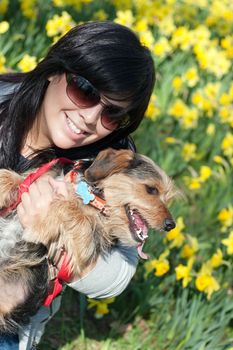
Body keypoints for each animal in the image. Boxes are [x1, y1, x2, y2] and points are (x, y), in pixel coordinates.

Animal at [0, 148, 177, 334]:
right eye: (151, 189)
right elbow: (16, 179)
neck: (91, 195)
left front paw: (42, 223)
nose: (171, 225)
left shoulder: (84, 246)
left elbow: (75, 214)